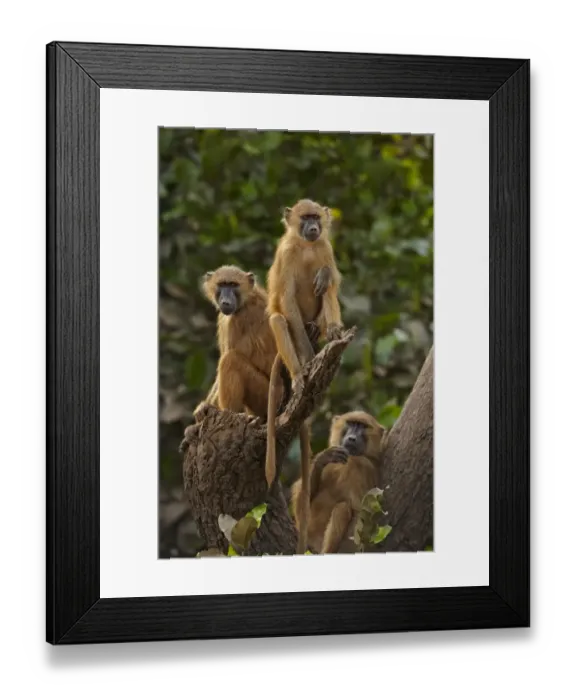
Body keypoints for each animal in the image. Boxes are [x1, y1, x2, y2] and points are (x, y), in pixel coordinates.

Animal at [291, 411, 388, 554]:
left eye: (362, 426)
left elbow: (361, 511)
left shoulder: (362, 466)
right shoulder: (333, 461)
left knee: (342, 509)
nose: (352, 438)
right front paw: (322, 460)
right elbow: (305, 495)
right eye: (351, 423)